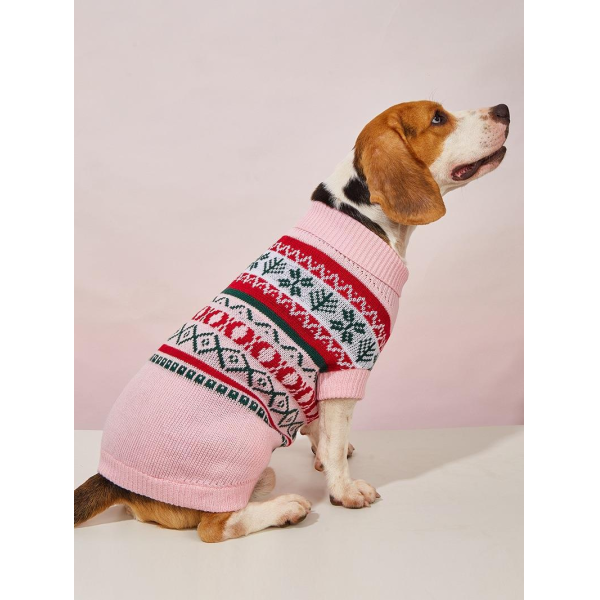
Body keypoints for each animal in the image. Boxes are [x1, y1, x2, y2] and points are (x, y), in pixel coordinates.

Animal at [74, 100, 510, 542]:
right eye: (438, 118)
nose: (504, 109)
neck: (357, 218)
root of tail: (113, 480)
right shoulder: (346, 369)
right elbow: (334, 442)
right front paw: (344, 490)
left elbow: (322, 432)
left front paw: (323, 455)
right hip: (246, 449)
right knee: (215, 526)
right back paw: (284, 509)